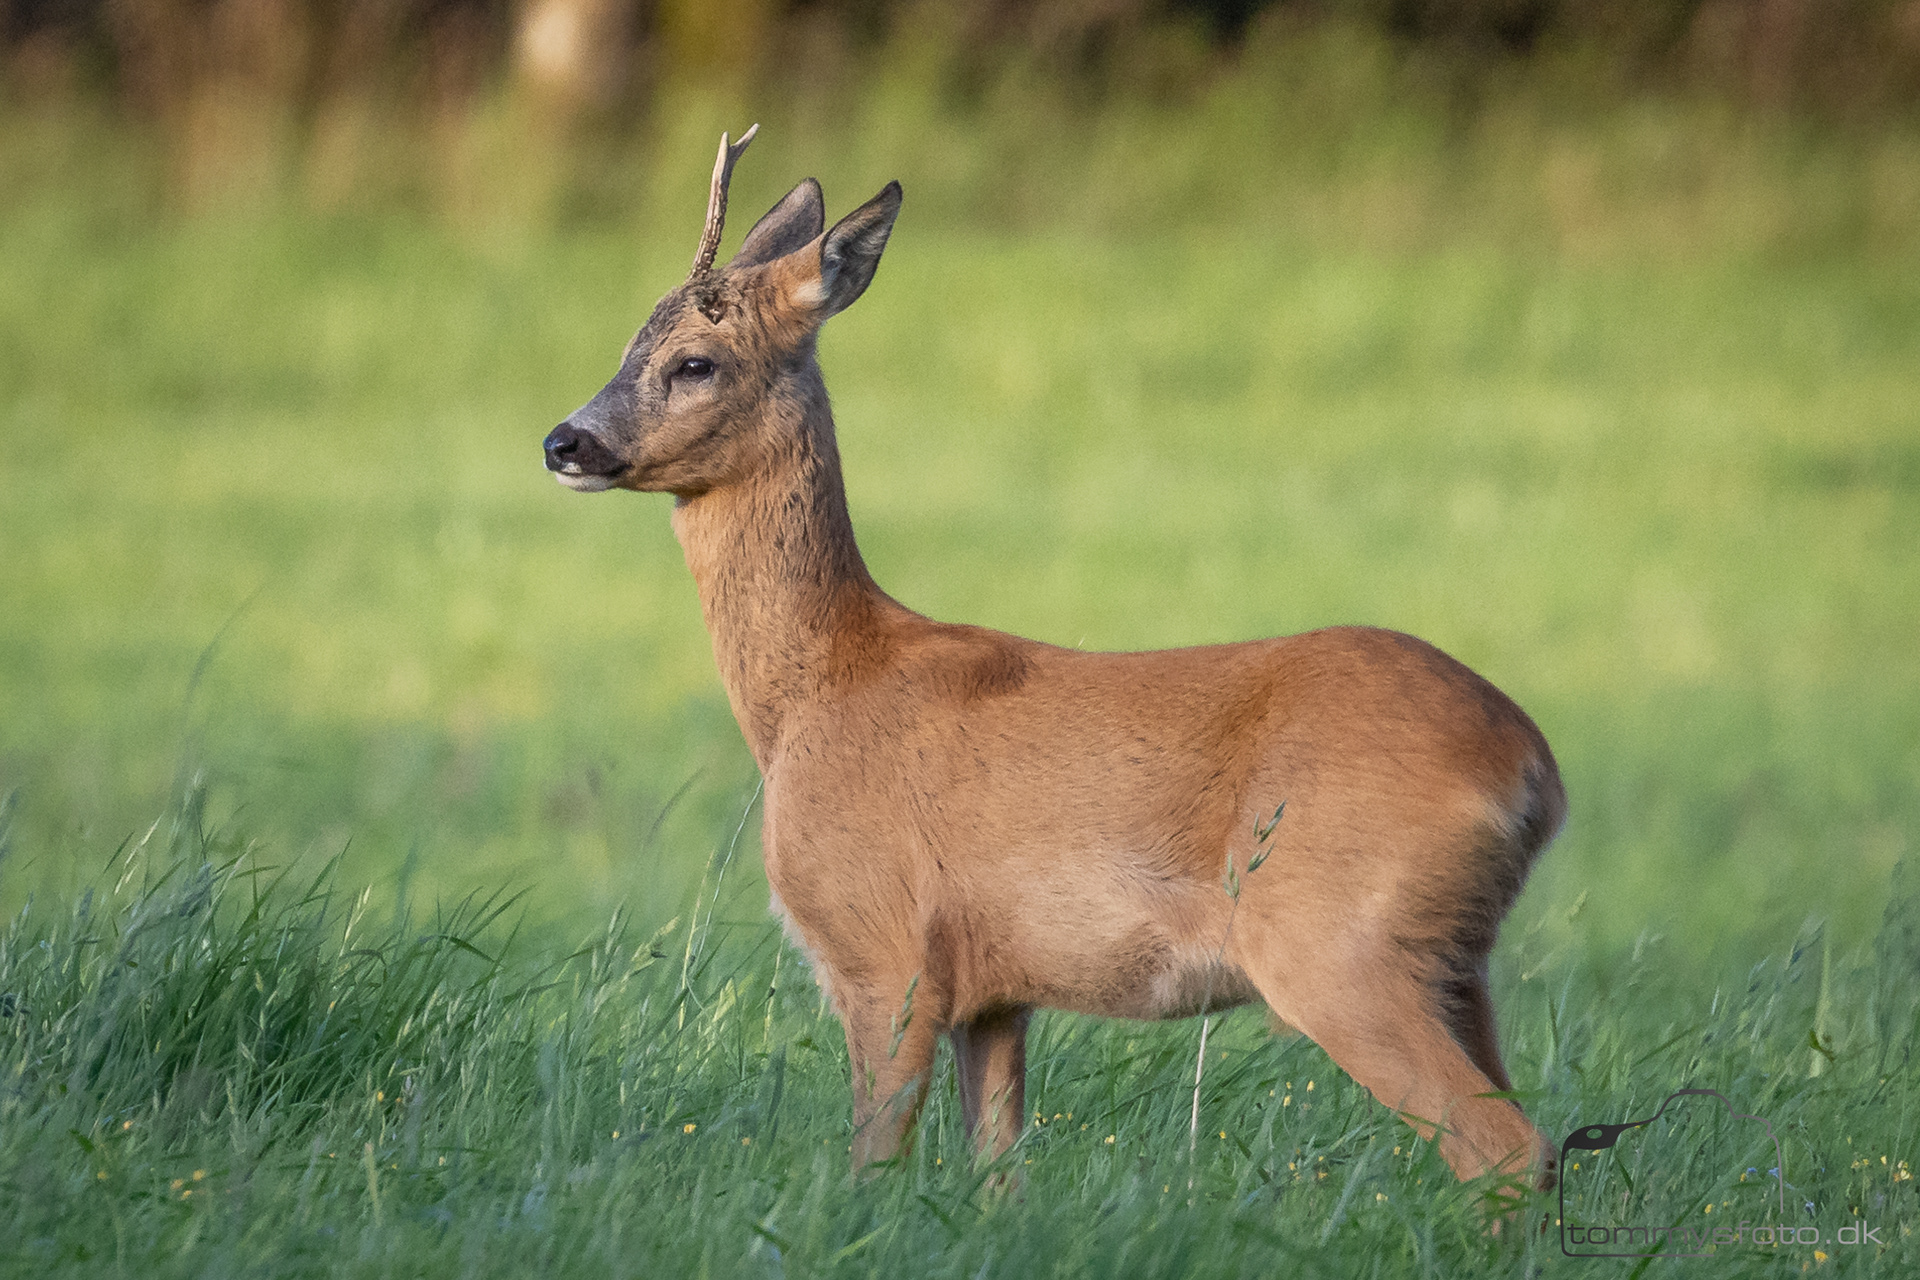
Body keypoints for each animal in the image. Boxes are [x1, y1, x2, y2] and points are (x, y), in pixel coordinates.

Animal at [542, 125, 1565, 1203]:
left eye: (693, 362)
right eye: (625, 347)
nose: (563, 441)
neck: (820, 690)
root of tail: (1533, 768)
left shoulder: (883, 948)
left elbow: (873, 1157)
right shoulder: (995, 994)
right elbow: (998, 1173)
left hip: (1340, 941)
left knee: (1508, 1148)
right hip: (1459, 961)